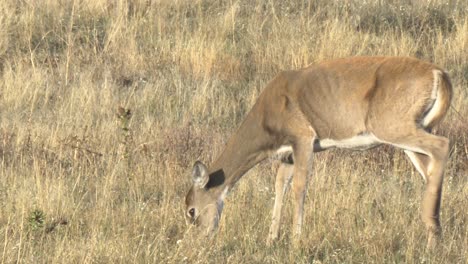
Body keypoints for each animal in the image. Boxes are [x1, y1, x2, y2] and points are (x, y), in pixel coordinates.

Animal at [184, 55, 454, 248]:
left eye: (191, 211)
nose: (198, 240)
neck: (267, 115)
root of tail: (438, 74)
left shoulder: (303, 137)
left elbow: (299, 186)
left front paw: (295, 240)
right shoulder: (288, 153)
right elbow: (280, 183)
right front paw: (272, 238)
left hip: (392, 126)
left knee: (442, 145)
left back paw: (433, 234)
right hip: (412, 130)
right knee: (430, 169)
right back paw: (433, 234)